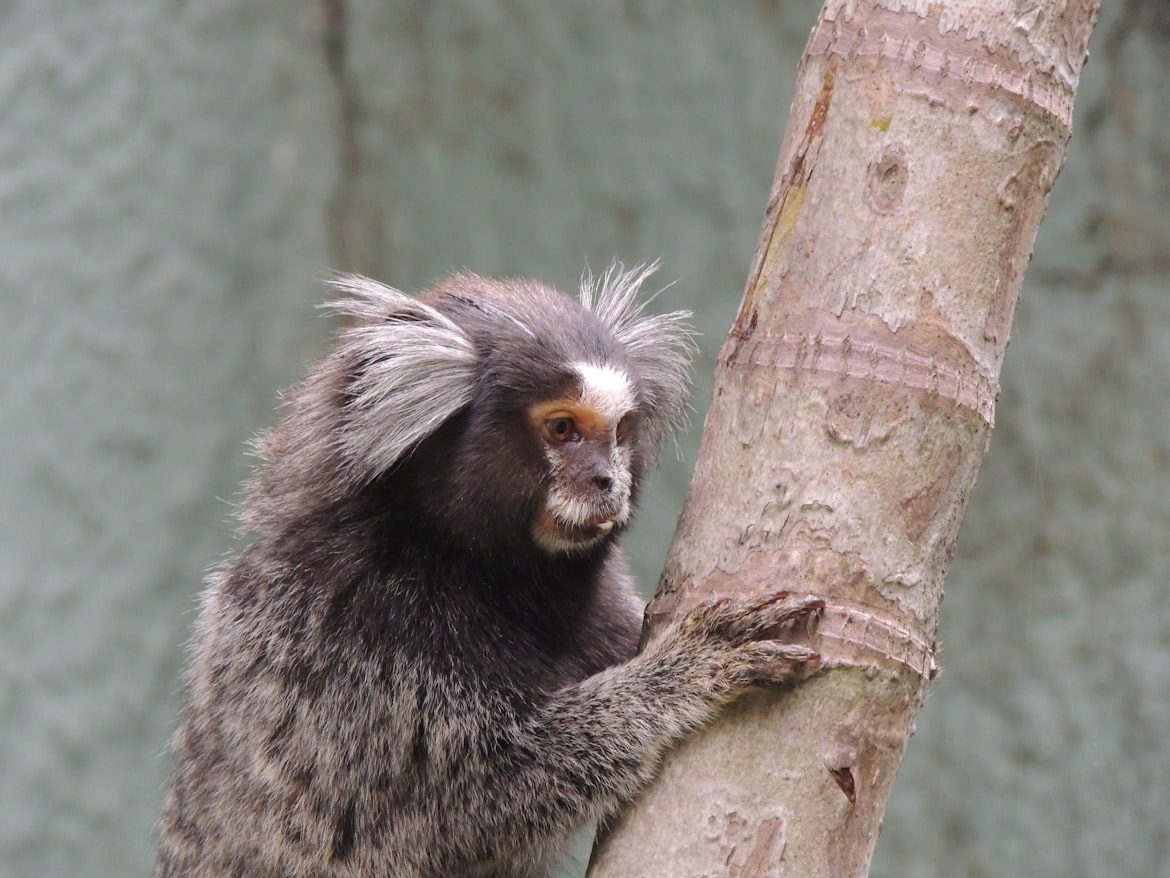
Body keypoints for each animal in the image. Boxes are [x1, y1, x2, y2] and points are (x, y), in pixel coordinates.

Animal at [157, 266, 823, 878]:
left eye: (619, 430)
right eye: (562, 428)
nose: (608, 481)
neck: (466, 567)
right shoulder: (347, 644)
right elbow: (457, 811)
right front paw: (686, 669)